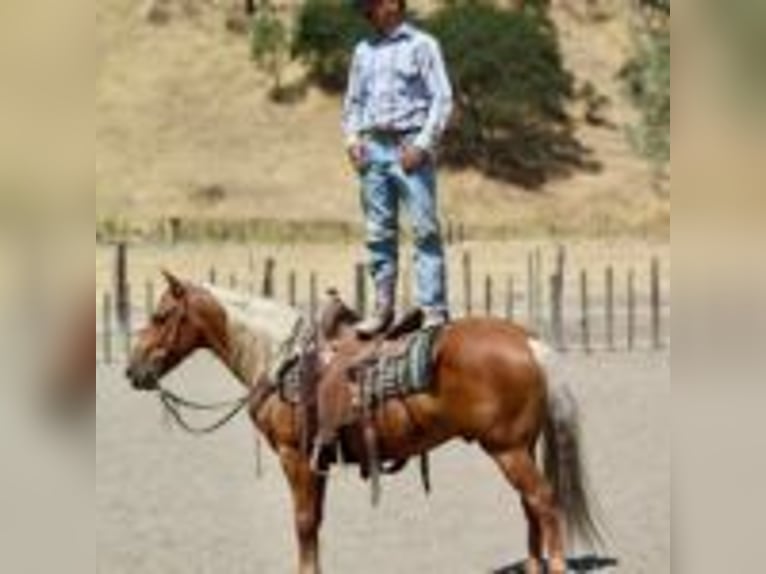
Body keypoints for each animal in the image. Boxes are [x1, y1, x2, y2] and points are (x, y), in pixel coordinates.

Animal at [127, 272, 608, 574]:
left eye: (159, 316)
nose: (133, 370)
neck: (280, 358)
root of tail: (528, 342)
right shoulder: (317, 460)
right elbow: (315, 522)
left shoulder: (294, 457)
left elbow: (303, 522)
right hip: (519, 448)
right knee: (531, 506)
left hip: (508, 450)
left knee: (544, 502)